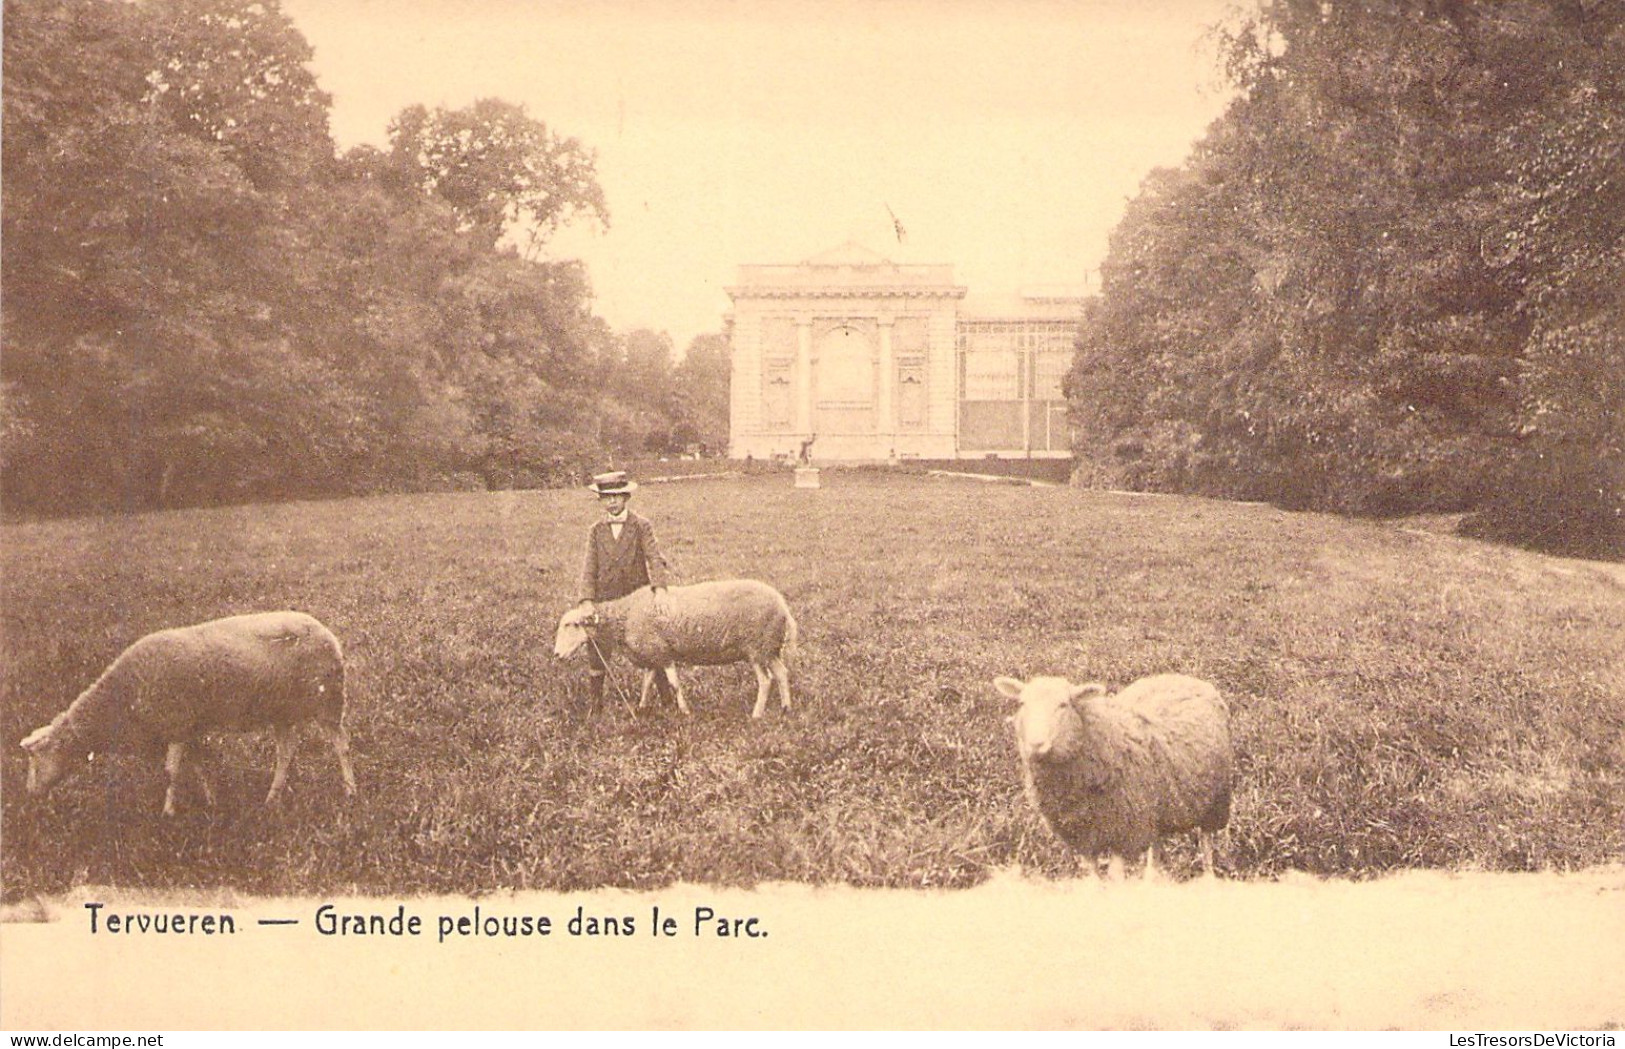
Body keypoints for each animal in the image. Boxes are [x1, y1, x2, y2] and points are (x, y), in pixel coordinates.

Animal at [19, 613, 355, 818]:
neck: (120, 698)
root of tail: (325, 630)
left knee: (341, 745)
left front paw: (167, 813)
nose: (30, 795)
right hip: (281, 710)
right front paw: (211, 800)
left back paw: (350, 790)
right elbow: (198, 766)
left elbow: (172, 773)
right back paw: (271, 800)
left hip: (327, 700)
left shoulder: (176, 724)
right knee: (286, 752)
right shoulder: (187, 727)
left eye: (37, 758)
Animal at [555, 578, 802, 717]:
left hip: (757, 648)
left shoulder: (663, 654)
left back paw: (757, 714)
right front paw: (641, 708)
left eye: (572, 624)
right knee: (782, 673)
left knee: (766, 680)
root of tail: (782, 605)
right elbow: (647, 682)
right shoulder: (653, 653)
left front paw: (684, 711)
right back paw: (786, 708)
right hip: (769, 648)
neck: (626, 614)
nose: (556, 655)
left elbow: (673, 684)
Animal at [988, 675, 1228, 876]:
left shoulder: (1123, 832)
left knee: (1206, 844)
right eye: (1022, 704)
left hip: (1215, 802)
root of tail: (1181, 677)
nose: (1036, 744)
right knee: (1156, 851)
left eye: (1064, 704)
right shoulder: (1084, 838)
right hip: (1156, 811)